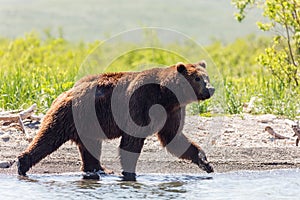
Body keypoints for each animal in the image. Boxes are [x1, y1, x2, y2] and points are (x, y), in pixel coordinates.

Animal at [17, 60, 213, 180]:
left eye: (207, 76)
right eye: (197, 78)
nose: (211, 88)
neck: (166, 96)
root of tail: (64, 94)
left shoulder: (172, 111)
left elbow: (173, 137)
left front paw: (205, 162)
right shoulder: (140, 102)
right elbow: (132, 141)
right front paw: (130, 174)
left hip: (87, 123)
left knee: (90, 147)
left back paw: (100, 169)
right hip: (70, 115)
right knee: (48, 138)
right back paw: (22, 163)